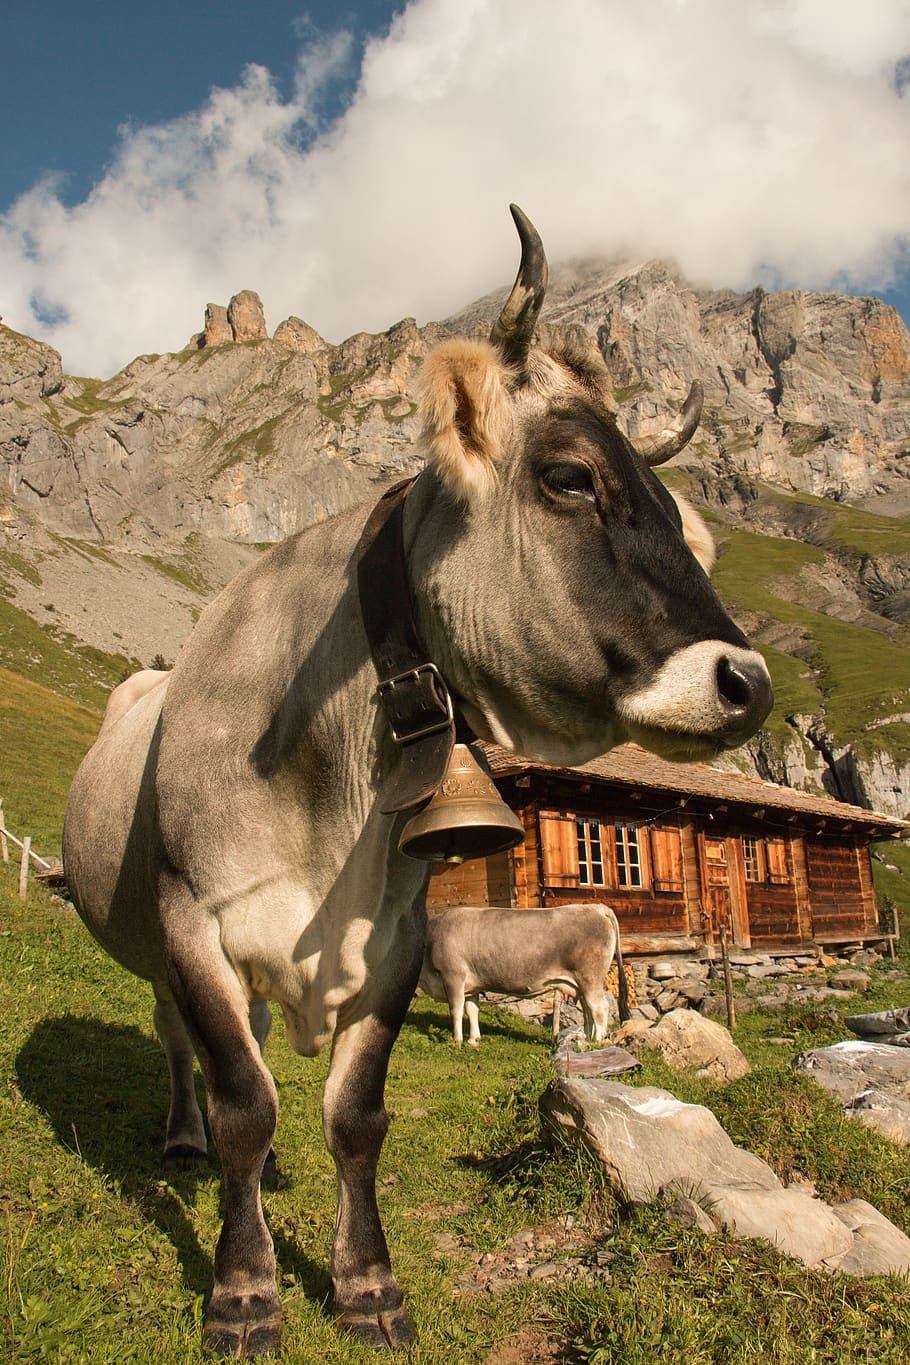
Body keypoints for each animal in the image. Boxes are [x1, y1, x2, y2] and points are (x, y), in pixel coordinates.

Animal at [419, 902, 629, 1046]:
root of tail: (597, 908)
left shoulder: (452, 976)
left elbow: (456, 1010)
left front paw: (457, 1040)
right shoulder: (472, 986)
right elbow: (472, 1010)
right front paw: (473, 1040)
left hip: (590, 979)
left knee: (599, 1008)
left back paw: (598, 1041)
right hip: (582, 984)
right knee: (588, 1009)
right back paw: (588, 1039)